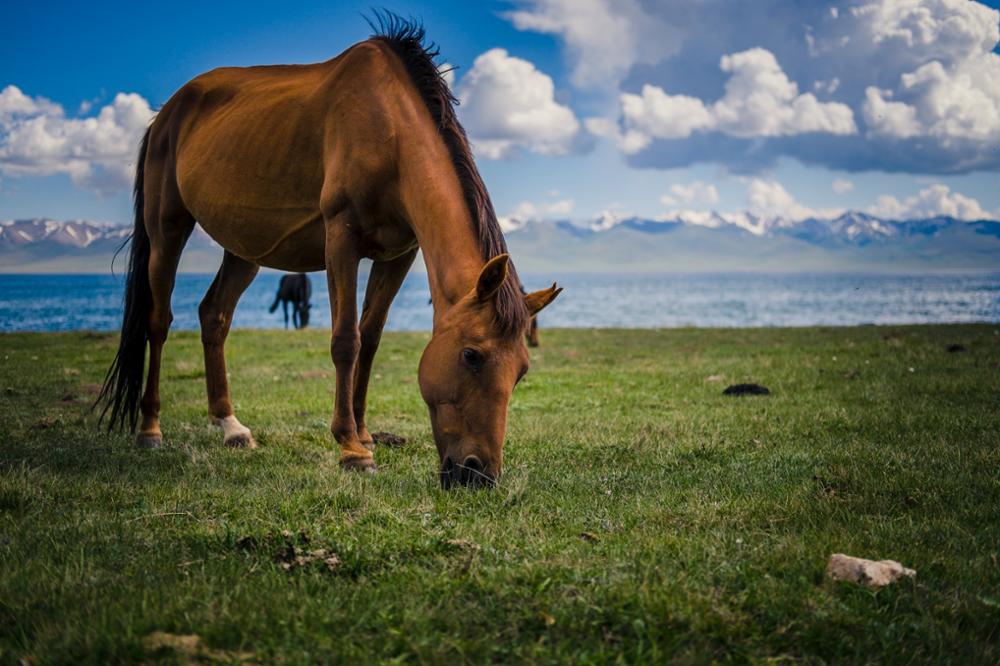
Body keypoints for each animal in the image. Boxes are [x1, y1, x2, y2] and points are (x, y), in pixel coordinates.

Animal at [99, 13, 564, 486]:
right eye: (472, 355)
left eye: (522, 370)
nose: (477, 474)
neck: (390, 131)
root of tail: (166, 114)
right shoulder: (341, 240)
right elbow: (346, 340)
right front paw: (350, 448)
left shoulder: (398, 254)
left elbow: (370, 338)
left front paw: (364, 433)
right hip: (167, 229)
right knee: (159, 321)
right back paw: (150, 428)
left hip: (244, 249)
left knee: (214, 316)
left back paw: (230, 426)